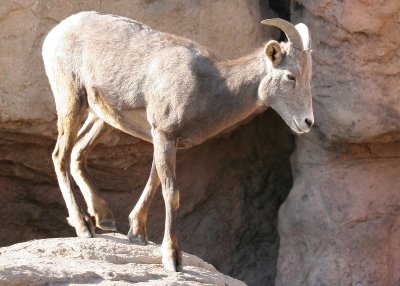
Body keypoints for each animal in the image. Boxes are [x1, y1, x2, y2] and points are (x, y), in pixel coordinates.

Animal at [42, 11, 314, 270]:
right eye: (290, 76)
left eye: (308, 78)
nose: (307, 122)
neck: (211, 87)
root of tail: (55, 34)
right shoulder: (164, 135)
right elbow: (171, 193)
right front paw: (172, 258)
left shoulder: (163, 140)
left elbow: (153, 182)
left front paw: (137, 234)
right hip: (71, 102)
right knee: (60, 156)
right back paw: (84, 226)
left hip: (101, 117)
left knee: (77, 152)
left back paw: (103, 217)